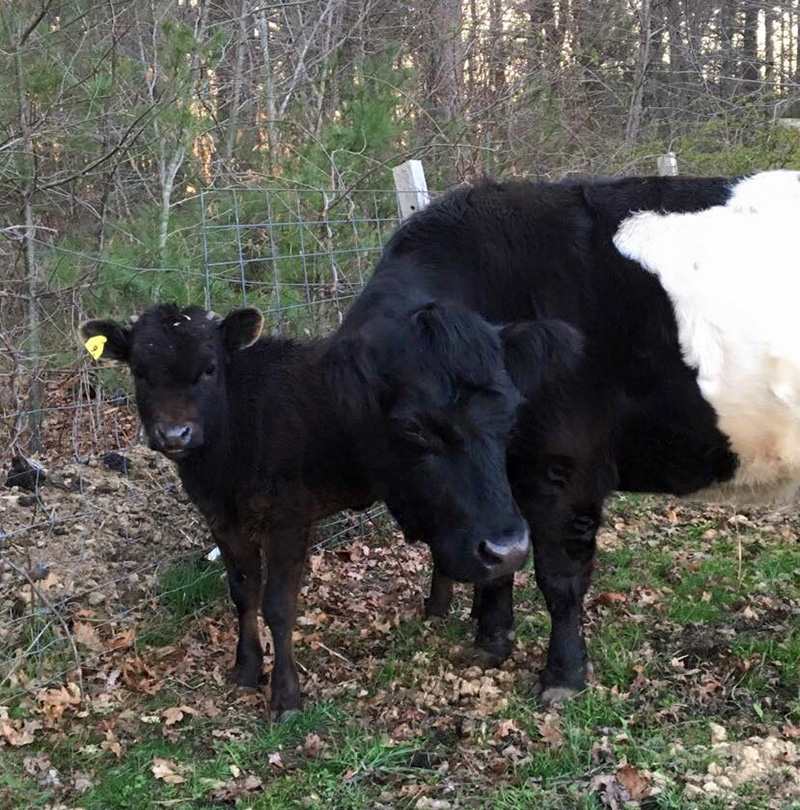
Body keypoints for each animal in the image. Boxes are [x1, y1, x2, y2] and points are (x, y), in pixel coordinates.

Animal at [83, 296, 580, 712]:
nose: (174, 434)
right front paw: (245, 668)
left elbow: (278, 605)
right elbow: (243, 593)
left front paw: (285, 696)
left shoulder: (288, 519)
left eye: (208, 368)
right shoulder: (221, 520)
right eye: (140, 371)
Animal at [340, 169, 800, 700]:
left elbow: (559, 578)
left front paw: (563, 675)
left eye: (511, 413)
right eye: (411, 426)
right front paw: (490, 642)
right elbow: (499, 566)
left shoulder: (565, 468)